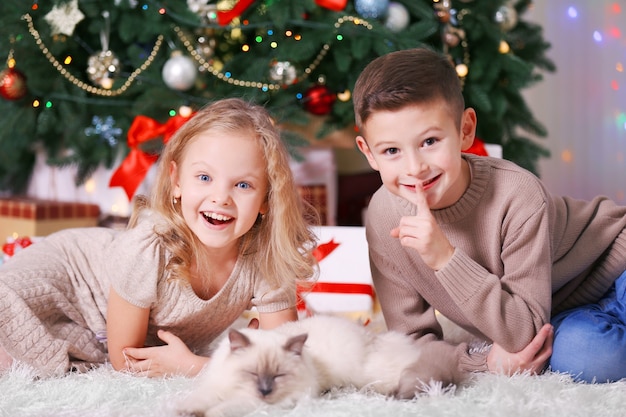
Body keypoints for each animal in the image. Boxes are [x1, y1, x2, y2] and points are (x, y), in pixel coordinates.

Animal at [178, 316, 460, 416]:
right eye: (252, 374)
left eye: (278, 376)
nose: (265, 391)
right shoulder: (215, 388)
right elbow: (197, 400)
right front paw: (185, 412)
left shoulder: (260, 403)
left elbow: (223, 409)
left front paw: (208, 414)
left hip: (371, 375)